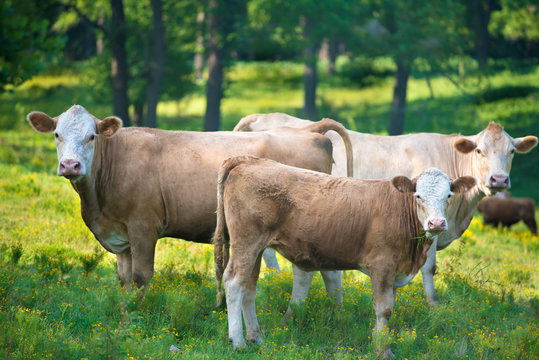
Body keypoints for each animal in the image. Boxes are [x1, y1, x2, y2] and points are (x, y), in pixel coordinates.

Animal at [214, 156, 476, 356]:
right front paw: (383, 351)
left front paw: (381, 345)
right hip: (246, 242)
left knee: (249, 288)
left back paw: (256, 337)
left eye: (448, 195)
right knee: (234, 282)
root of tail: (250, 160)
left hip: (256, 248)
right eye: (418, 196)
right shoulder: (382, 266)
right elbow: (383, 309)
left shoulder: (395, 272)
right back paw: (238, 341)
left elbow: (389, 309)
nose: (436, 223)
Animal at [234, 113, 536, 306]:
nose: (499, 180)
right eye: (479, 151)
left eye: (511, 151)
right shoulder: (428, 227)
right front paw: (433, 305)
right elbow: (429, 269)